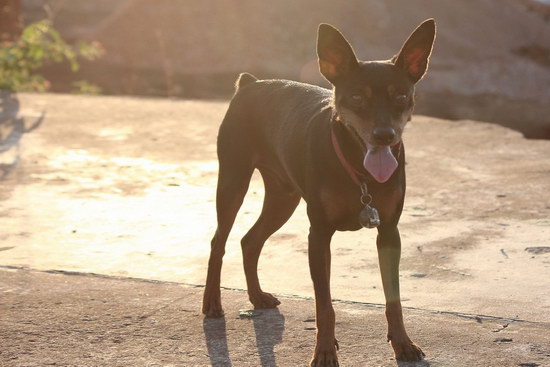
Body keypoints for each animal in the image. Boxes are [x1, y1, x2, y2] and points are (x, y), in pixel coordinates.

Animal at [205, 19, 438, 366]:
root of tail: (249, 84)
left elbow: (393, 299)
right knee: (218, 241)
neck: (358, 170)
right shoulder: (319, 234)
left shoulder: (389, 232)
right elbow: (324, 305)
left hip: (284, 196)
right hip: (233, 180)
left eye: (400, 96)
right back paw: (211, 303)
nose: (384, 136)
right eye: (357, 97)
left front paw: (402, 344)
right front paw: (325, 352)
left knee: (250, 240)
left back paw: (257, 296)